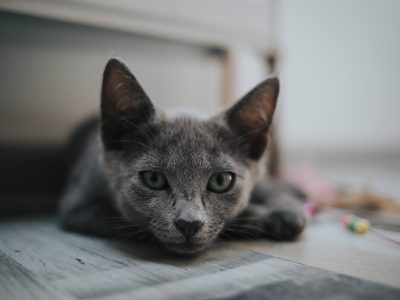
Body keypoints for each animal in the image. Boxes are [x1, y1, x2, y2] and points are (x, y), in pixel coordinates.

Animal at [58, 58, 306, 253]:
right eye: (154, 179)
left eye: (221, 180)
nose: (189, 224)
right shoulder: (78, 207)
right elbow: (126, 223)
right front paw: (266, 217)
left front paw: (283, 214)